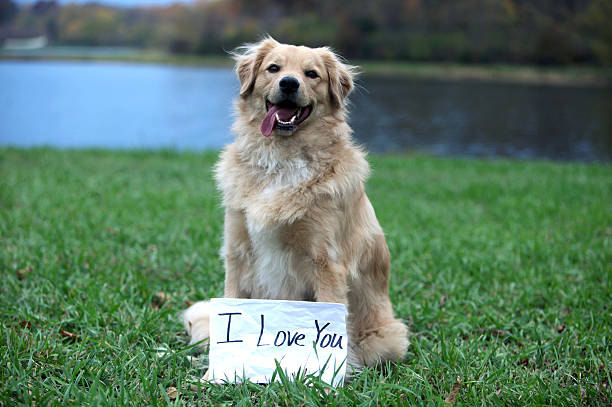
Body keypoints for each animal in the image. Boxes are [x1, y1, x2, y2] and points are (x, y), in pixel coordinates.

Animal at [184, 36, 408, 372]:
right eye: (273, 68)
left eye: (311, 74)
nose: (289, 83)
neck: (281, 159)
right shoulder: (237, 252)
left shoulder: (325, 262)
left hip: (386, 338)